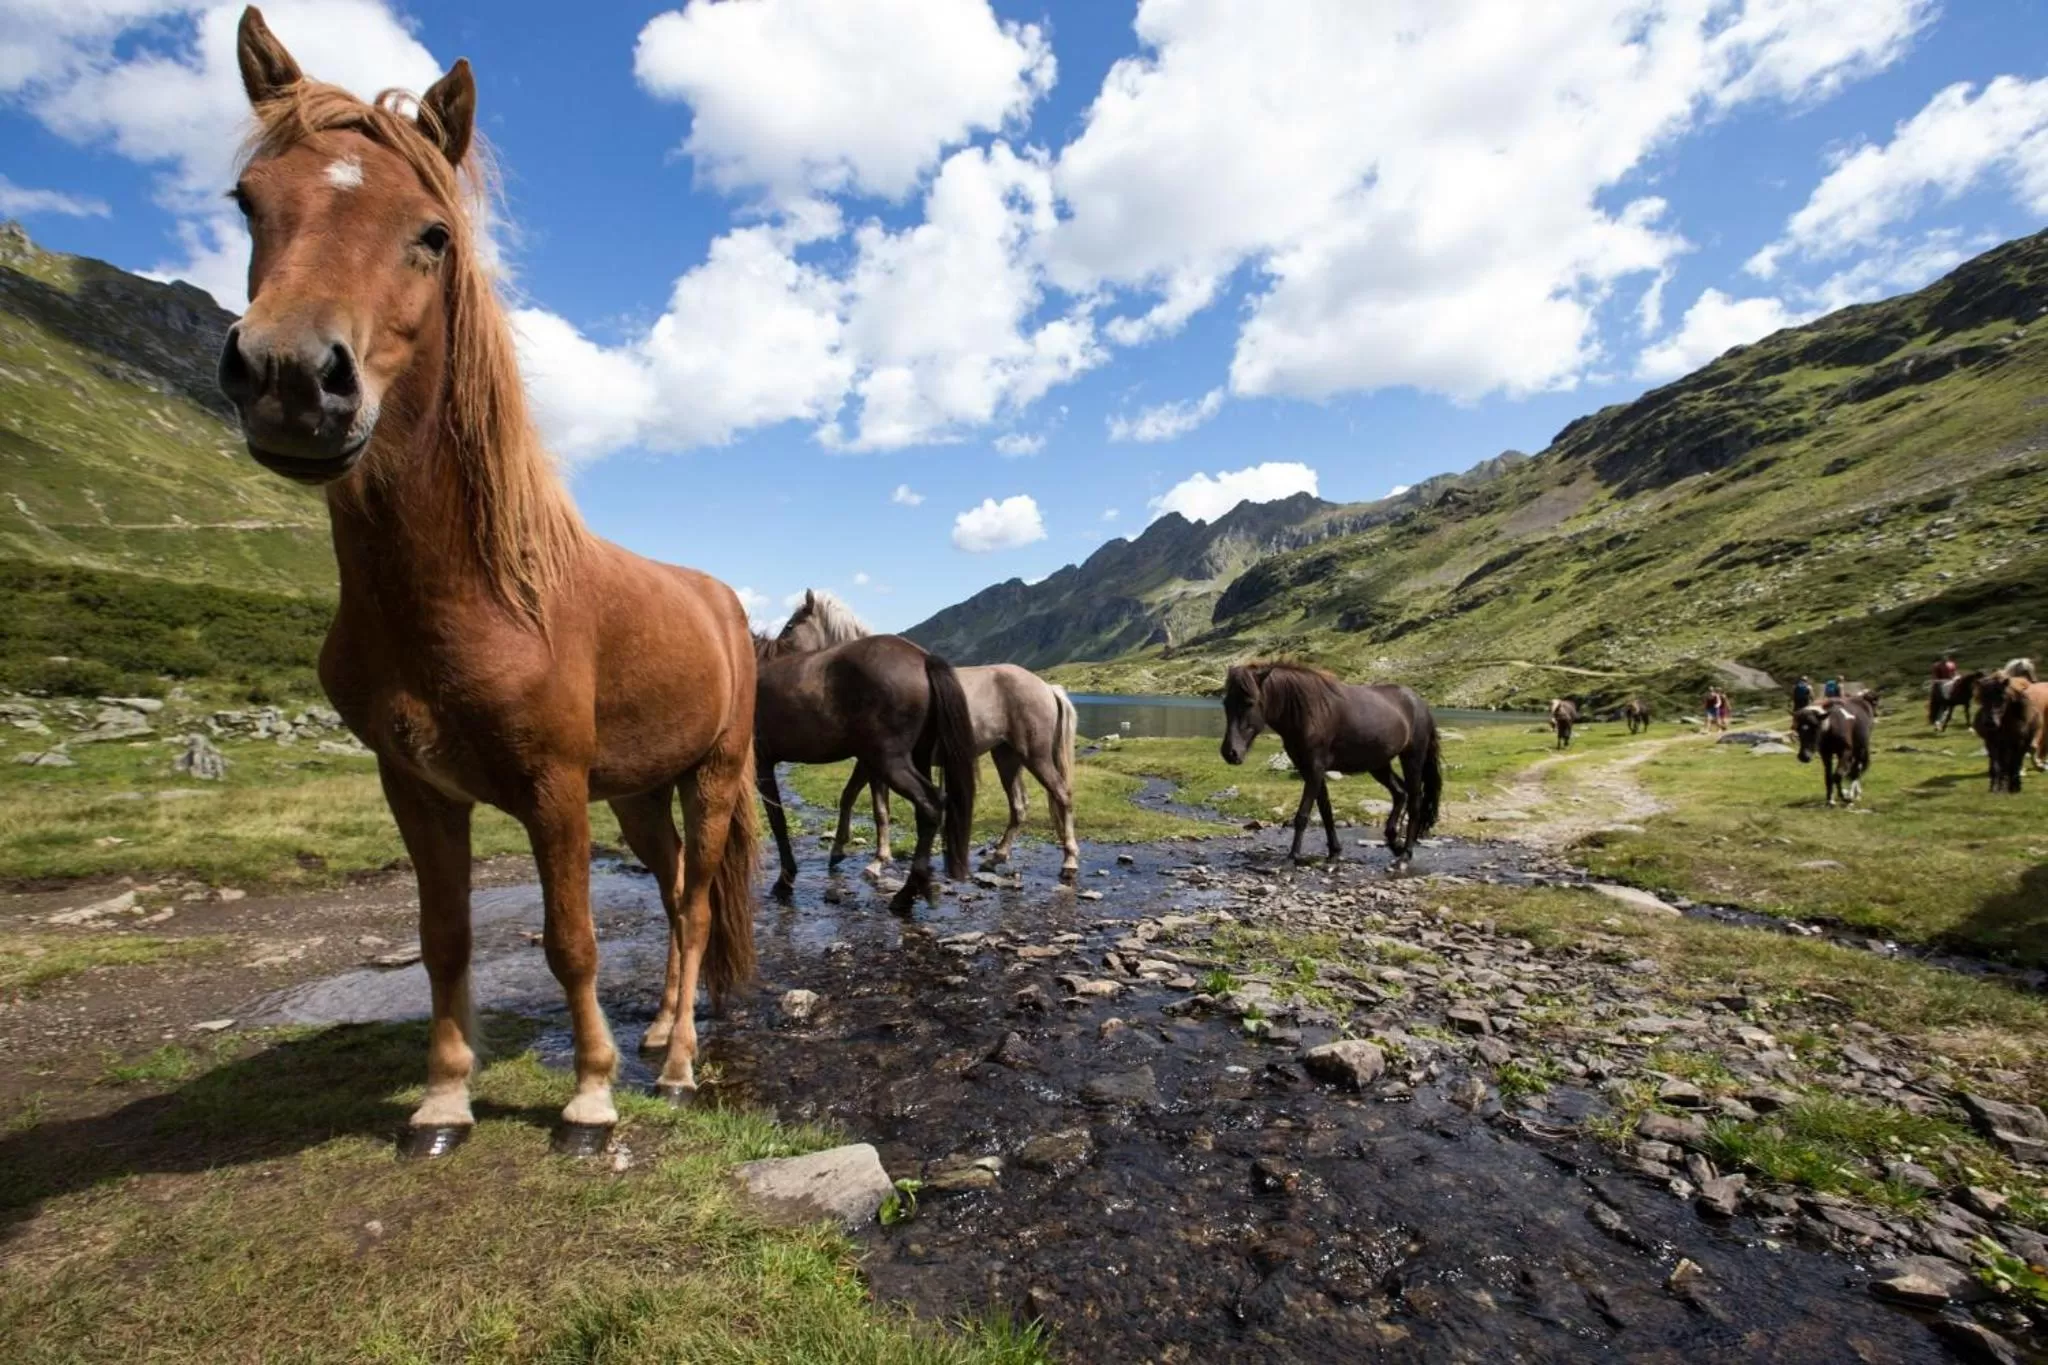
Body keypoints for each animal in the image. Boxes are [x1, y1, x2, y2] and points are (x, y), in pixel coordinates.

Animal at [217, 10, 757, 1156]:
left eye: (431, 233)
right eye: (248, 202)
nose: (292, 379)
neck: (463, 595)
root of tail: (729, 604)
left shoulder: (551, 789)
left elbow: (570, 939)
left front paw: (590, 1097)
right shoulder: (414, 784)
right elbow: (444, 936)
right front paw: (444, 1097)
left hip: (716, 773)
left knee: (692, 905)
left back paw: (677, 1061)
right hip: (638, 787)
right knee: (669, 884)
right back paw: (659, 1030)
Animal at [752, 629, 976, 911]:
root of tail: (923, 659)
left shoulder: (760, 763)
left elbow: (776, 821)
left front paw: (785, 881)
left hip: (888, 760)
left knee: (930, 804)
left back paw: (906, 894)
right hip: (915, 757)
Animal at [777, 590, 1080, 879]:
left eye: (790, 626)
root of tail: (1047, 687)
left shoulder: (874, 762)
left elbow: (877, 809)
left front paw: (876, 861)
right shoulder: (870, 762)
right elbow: (850, 797)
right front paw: (840, 851)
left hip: (1035, 756)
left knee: (1062, 794)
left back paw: (1069, 861)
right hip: (1006, 756)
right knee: (1019, 805)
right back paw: (997, 857)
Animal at [1220, 662, 1442, 868]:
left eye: (1249, 703)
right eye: (1225, 703)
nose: (1230, 753)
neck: (1308, 712)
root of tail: (1419, 704)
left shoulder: (1314, 769)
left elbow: (1302, 816)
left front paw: (1292, 858)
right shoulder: (1309, 770)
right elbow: (1326, 811)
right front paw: (1334, 852)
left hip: (1412, 759)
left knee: (1414, 801)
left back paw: (1405, 855)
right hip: (1378, 765)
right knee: (1400, 793)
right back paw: (1394, 843)